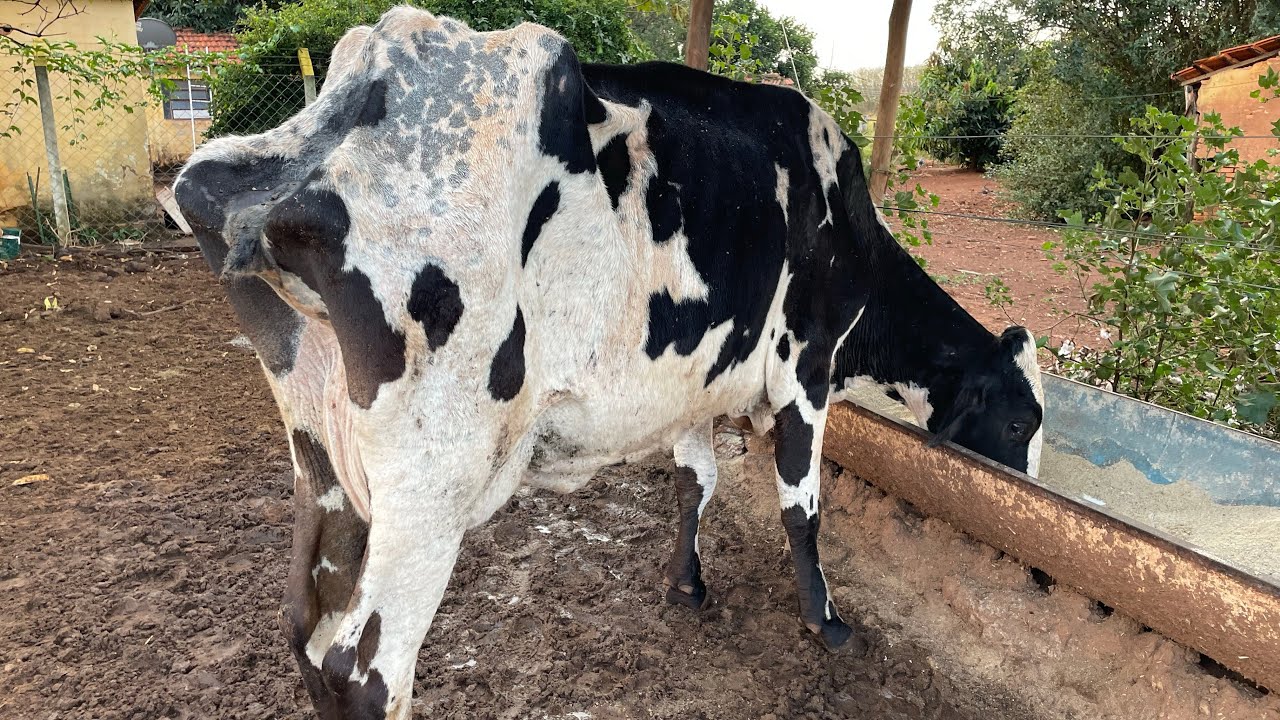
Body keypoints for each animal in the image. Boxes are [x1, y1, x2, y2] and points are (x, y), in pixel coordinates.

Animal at [175, 8, 1044, 719]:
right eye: (1019, 420)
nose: (1037, 576)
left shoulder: (691, 385)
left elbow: (697, 481)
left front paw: (687, 584)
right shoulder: (807, 365)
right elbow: (802, 508)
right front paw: (825, 622)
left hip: (322, 456)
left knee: (306, 631)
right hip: (432, 475)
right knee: (363, 669)